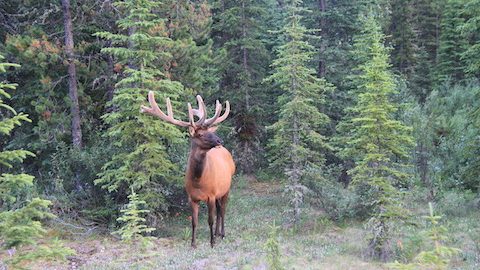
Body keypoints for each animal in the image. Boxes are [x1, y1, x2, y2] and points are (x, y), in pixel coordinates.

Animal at [140, 92, 235, 248]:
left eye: (209, 131)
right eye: (200, 134)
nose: (219, 141)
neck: (198, 181)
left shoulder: (211, 195)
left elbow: (210, 220)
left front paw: (212, 243)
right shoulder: (191, 197)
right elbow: (194, 221)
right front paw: (193, 243)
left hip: (227, 187)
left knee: (223, 210)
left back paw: (221, 234)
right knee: (219, 209)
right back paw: (217, 233)